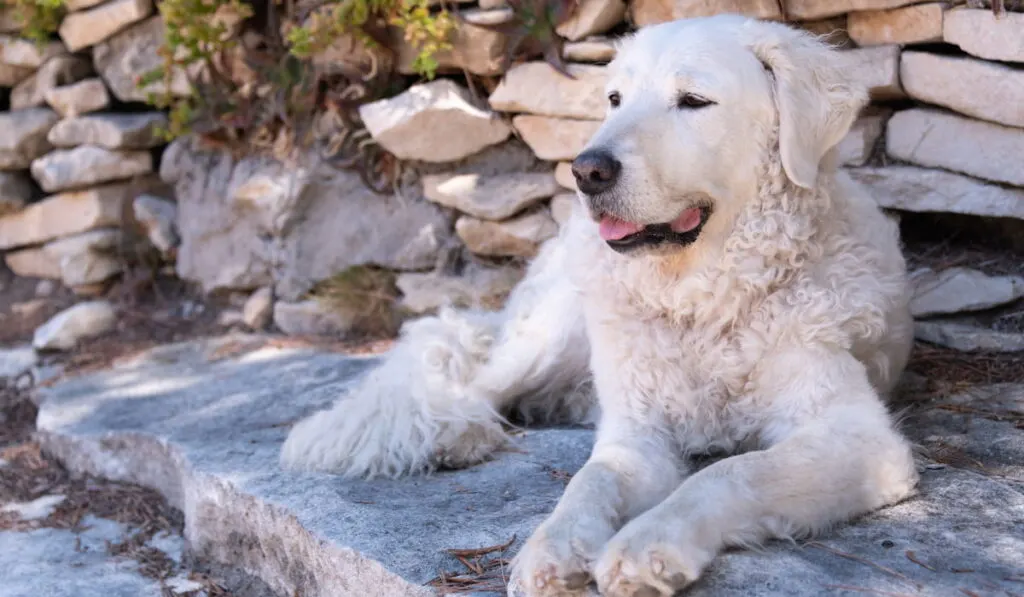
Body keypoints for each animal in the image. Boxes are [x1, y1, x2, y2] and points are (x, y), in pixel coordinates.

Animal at [282, 15, 921, 597]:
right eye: (615, 99)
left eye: (694, 101)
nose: (586, 170)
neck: (703, 303)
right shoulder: (636, 438)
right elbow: (589, 482)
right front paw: (553, 546)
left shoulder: (857, 438)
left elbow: (731, 472)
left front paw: (648, 544)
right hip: (551, 333)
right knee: (469, 380)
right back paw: (456, 434)